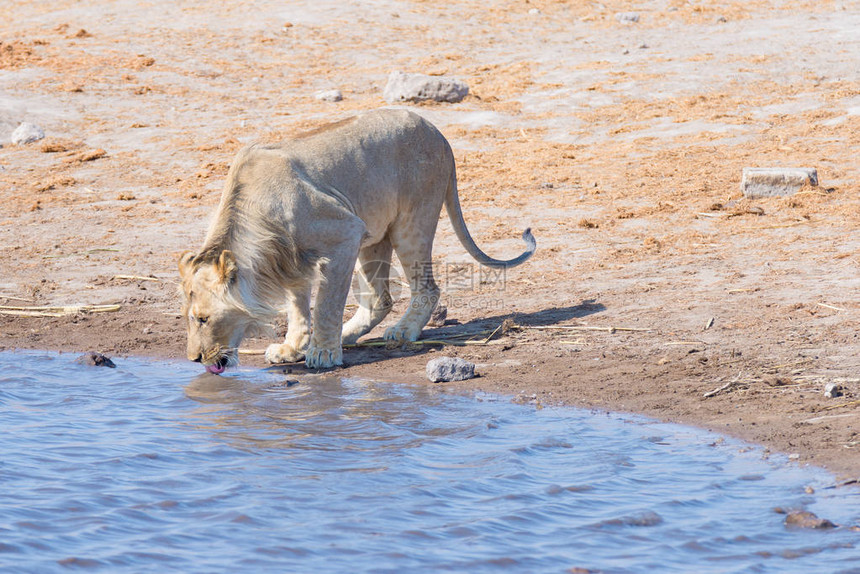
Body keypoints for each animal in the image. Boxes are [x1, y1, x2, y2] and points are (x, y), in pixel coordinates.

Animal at [178, 109, 536, 374]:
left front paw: (322, 353)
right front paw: (293, 348)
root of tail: (441, 135)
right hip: (374, 235)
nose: (194, 359)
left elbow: (327, 303)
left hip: (409, 223)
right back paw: (349, 335)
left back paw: (403, 331)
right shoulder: (291, 259)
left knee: (427, 288)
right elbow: (297, 306)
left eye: (203, 318)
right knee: (381, 298)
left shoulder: (345, 232)